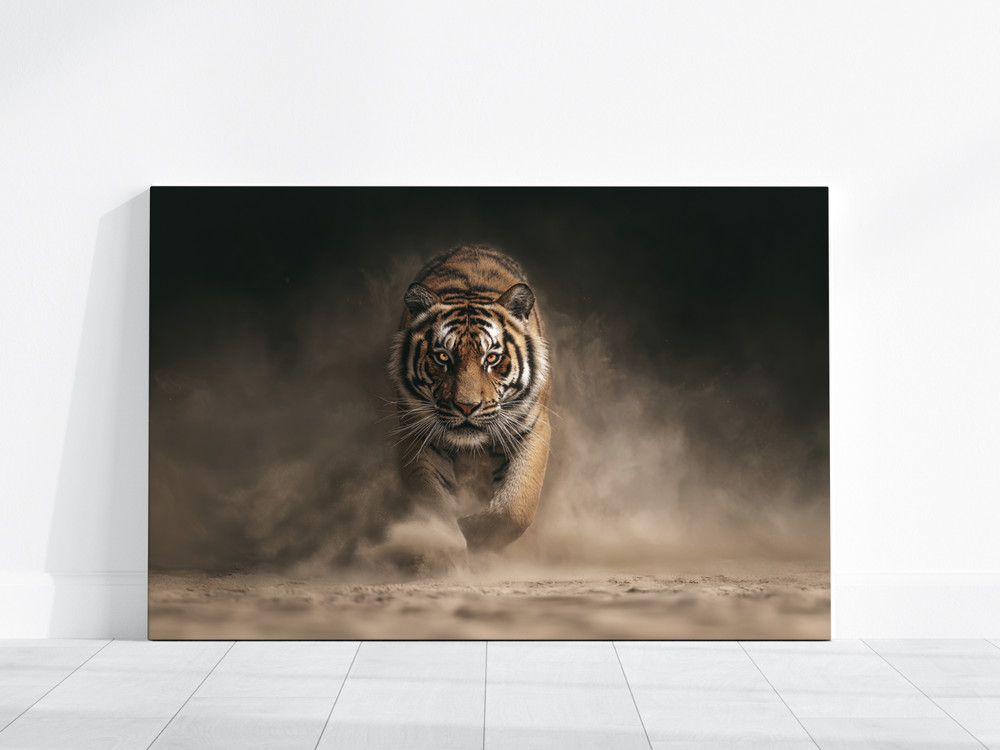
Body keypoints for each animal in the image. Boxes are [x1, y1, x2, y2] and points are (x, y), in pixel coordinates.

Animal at [387, 245, 552, 566]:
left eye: (492, 358)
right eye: (442, 357)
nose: (466, 406)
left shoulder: (532, 427)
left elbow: (516, 507)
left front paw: (471, 531)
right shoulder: (417, 433)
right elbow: (433, 502)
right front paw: (444, 550)